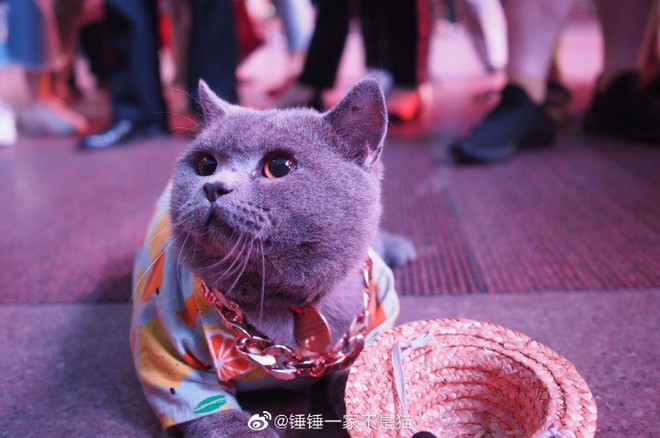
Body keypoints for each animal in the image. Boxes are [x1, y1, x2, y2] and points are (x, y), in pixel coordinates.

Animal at [130, 77, 416, 436]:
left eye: (279, 166)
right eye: (206, 165)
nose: (213, 187)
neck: (289, 302)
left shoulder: (375, 317)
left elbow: (364, 365)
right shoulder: (164, 346)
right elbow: (204, 405)